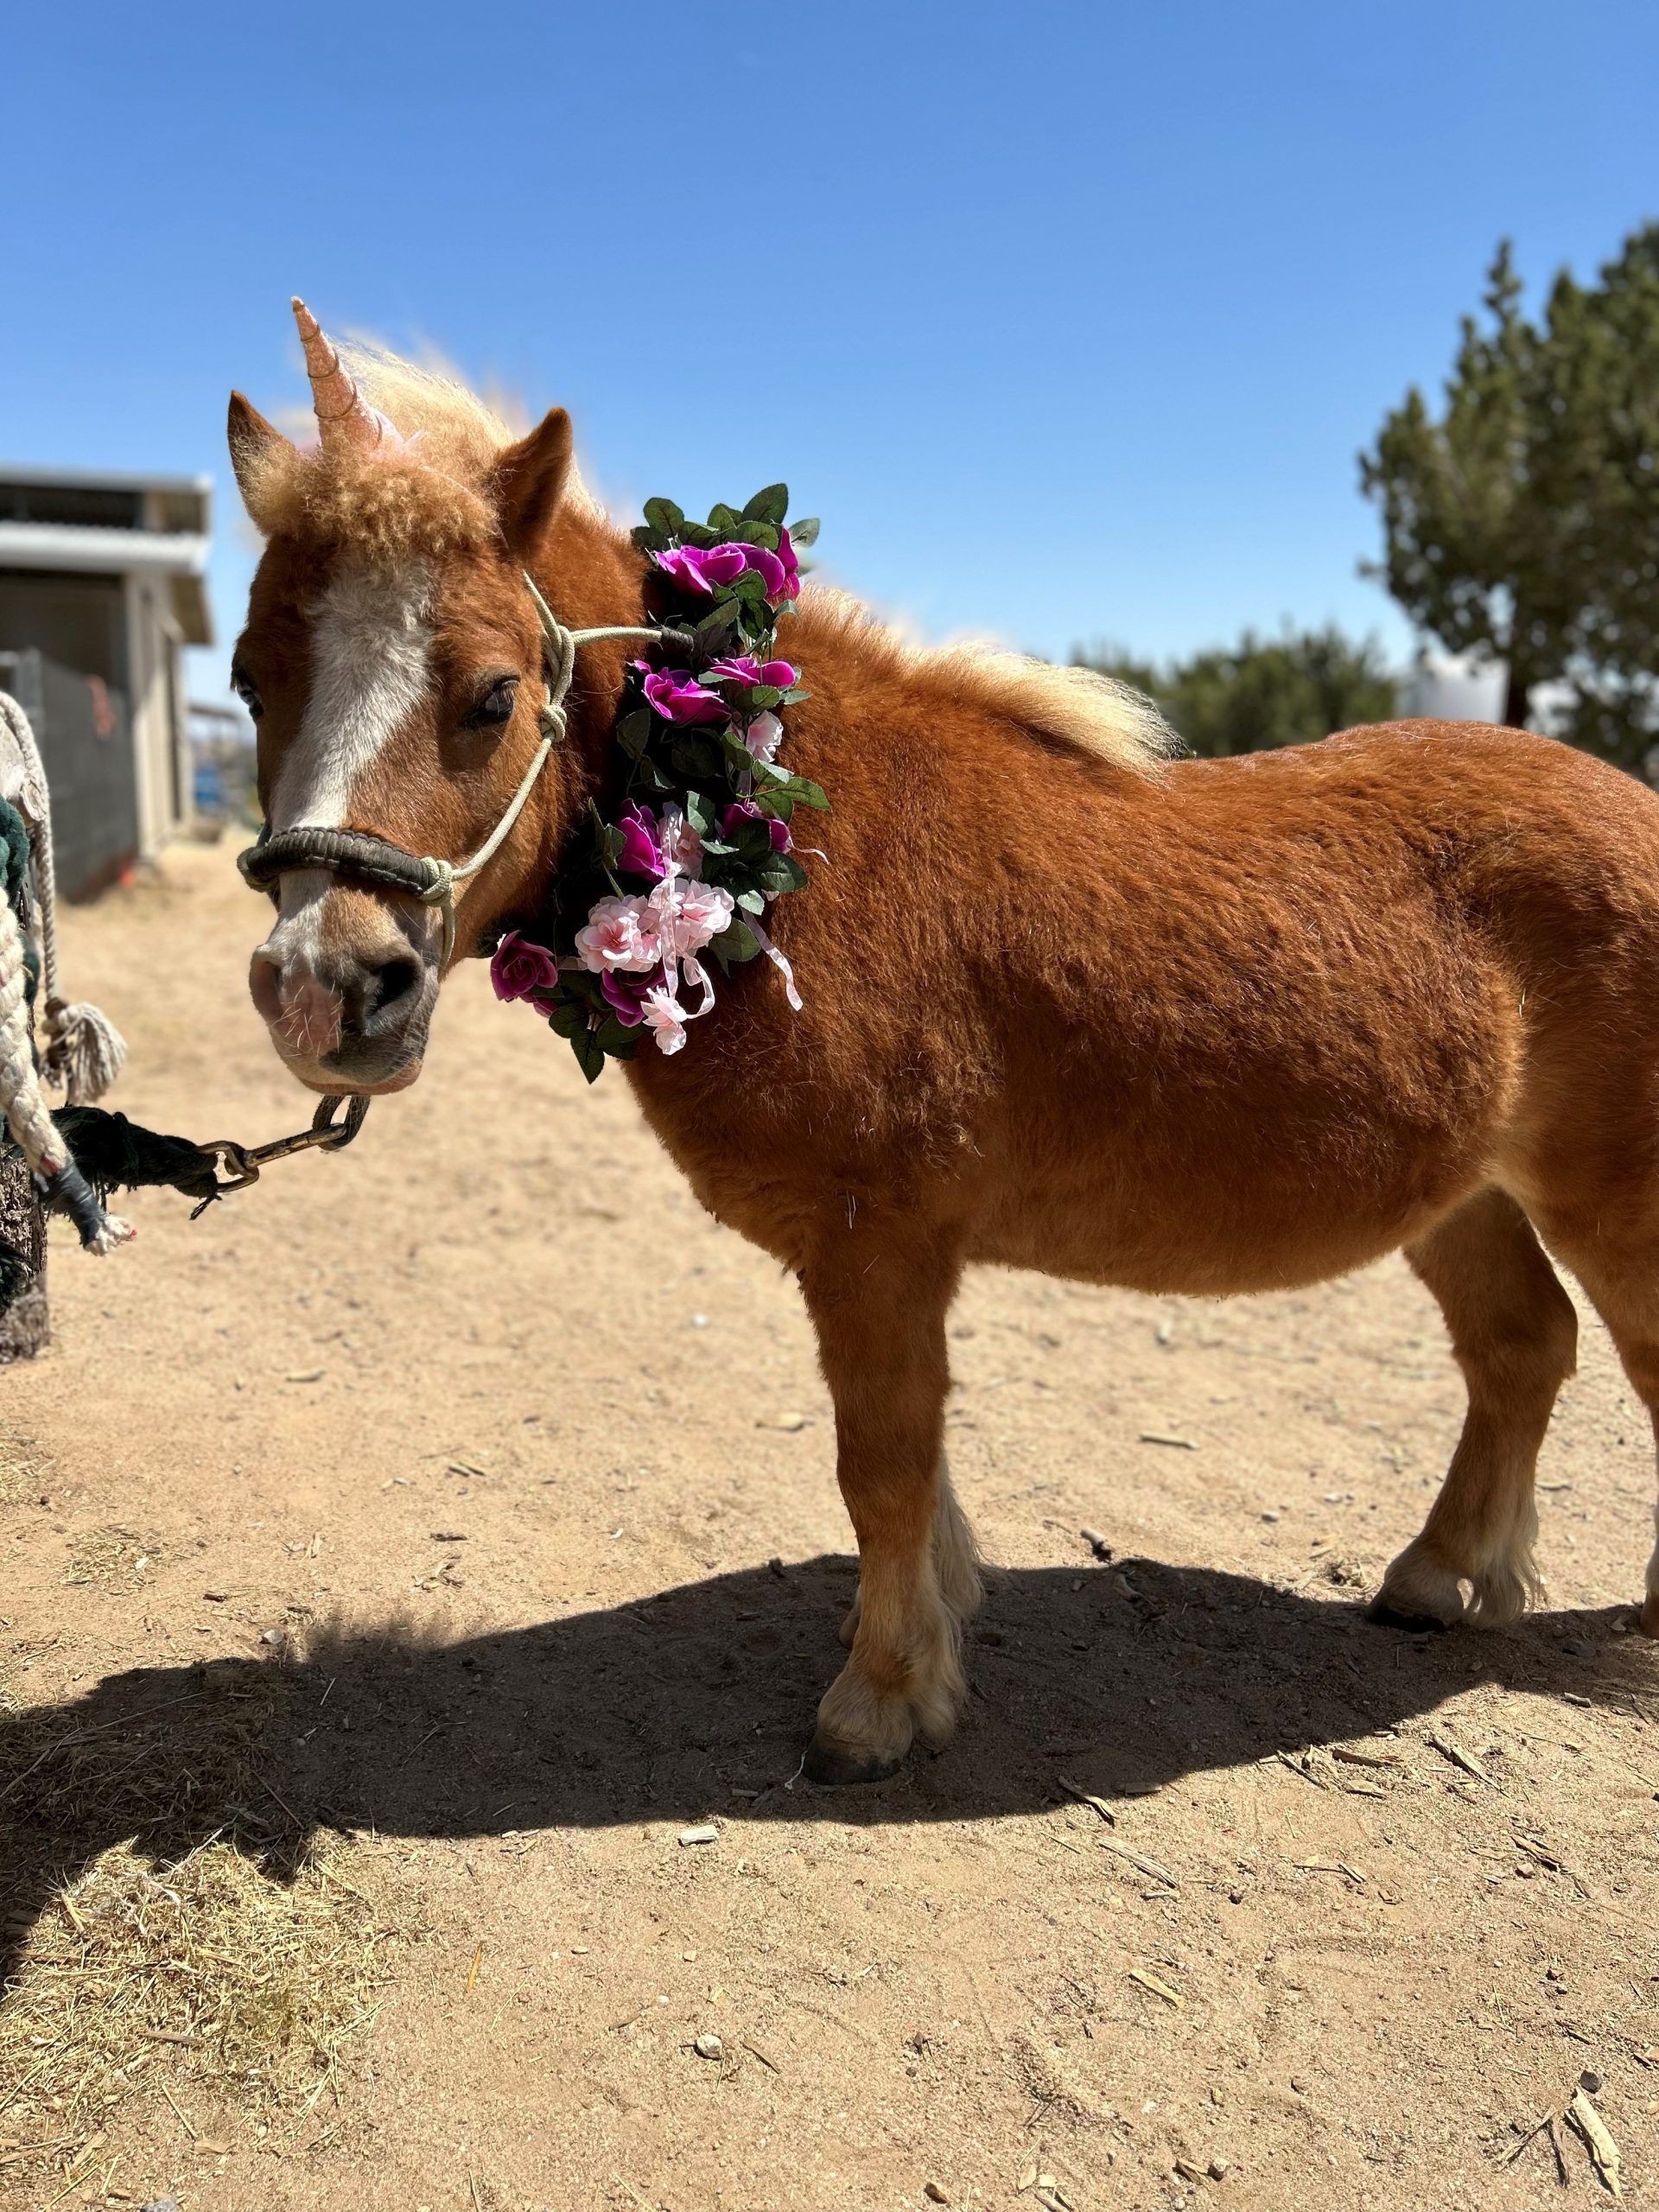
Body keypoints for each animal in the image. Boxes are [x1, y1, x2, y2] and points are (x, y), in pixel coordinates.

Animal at [228, 300, 1659, 1784]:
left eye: (494, 694)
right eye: (247, 680)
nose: (325, 986)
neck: (778, 841)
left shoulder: (879, 1242)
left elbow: (885, 1462)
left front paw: (882, 1697)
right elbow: (914, 1469)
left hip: (1615, 1199)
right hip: (1463, 1193)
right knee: (1520, 1346)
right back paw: (1439, 1576)